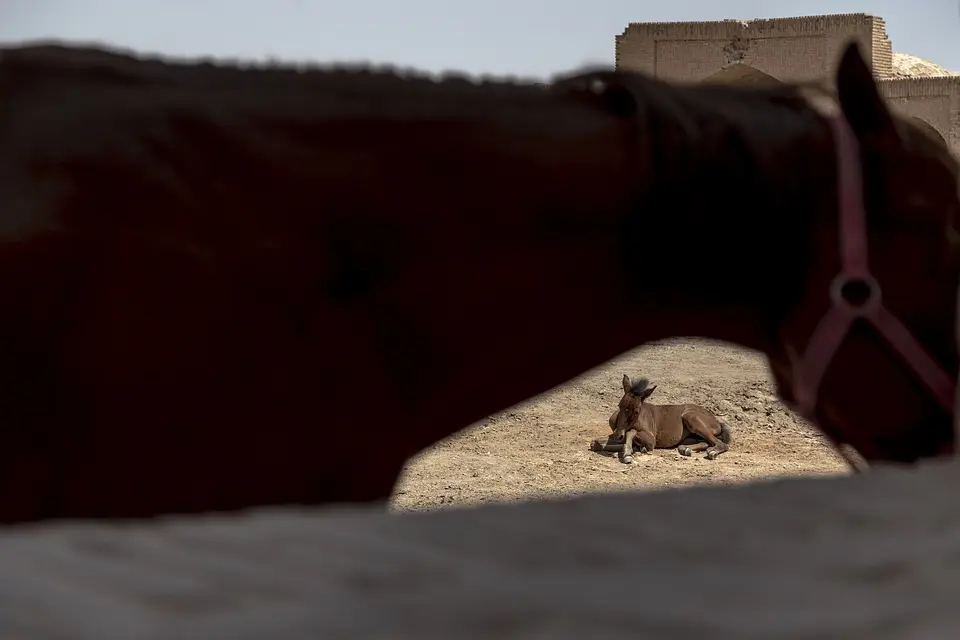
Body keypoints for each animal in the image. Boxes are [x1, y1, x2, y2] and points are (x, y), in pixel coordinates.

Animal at [588, 372, 732, 462]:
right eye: (620, 405)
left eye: (637, 411)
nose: (619, 435)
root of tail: (717, 421)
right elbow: (596, 443)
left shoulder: (651, 440)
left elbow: (632, 433)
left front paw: (628, 453)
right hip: (689, 437)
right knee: (705, 442)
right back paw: (685, 449)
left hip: (691, 418)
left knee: (720, 444)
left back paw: (712, 452)